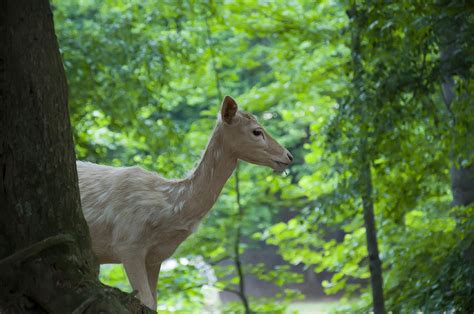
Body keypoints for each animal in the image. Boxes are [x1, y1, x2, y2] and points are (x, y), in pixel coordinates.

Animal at [77, 96, 292, 312]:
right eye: (257, 131)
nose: (288, 156)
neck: (169, 210)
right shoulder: (127, 242)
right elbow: (145, 300)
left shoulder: (155, 257)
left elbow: (154, 303)